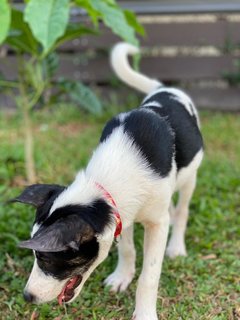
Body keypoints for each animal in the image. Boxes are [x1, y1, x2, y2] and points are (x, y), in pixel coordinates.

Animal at [13, 43, 203, 320]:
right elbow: (127, 248)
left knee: (182, 210)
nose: (27, 297)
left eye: (45, 258)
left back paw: (176, 245)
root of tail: (163, 89)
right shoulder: (124, 212)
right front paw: (122, 277)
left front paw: (144, 313)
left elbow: (149, 276)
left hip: (189, 178)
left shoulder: (154, 222)